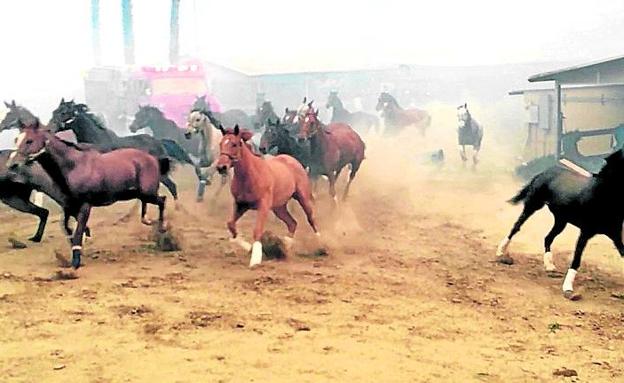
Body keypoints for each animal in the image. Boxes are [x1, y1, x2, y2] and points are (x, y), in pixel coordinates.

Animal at [7, 120, 168, 270]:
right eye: (16, 139)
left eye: (29, 141)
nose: (11, 164)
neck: (72, 166)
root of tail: (153, 158)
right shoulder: (68, 205)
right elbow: (66, 227)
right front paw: (80, 244)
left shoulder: (85, 204)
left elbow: (78, 230)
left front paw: (76, 260)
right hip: (138, 193)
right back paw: (147, 220)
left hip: (147, 192)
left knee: (162, 200)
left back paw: (162, 228)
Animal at [216, 125, 322, 268]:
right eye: (221, 143)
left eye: (234, 144)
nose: (221, 167)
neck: (250, 175)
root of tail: (292, 159)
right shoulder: (241, 205)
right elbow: (230, 224)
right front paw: (248, 247)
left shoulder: (263, 205)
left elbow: (257, 230)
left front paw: (255, 259)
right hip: (279, 207)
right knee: (292, 223)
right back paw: (284, 248)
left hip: (302, 197)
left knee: (311, 218)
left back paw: (321, 245)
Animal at [494, 152, 624, 300]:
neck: (603, 198)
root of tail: (544, 172)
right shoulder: (585, 232)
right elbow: (576, 259)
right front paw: (568, 289)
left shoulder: (615, 234)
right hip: (533, 206)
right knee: (517, 227)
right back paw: (500, 251)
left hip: (560, 221)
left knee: (547, 238)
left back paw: (550, 266)